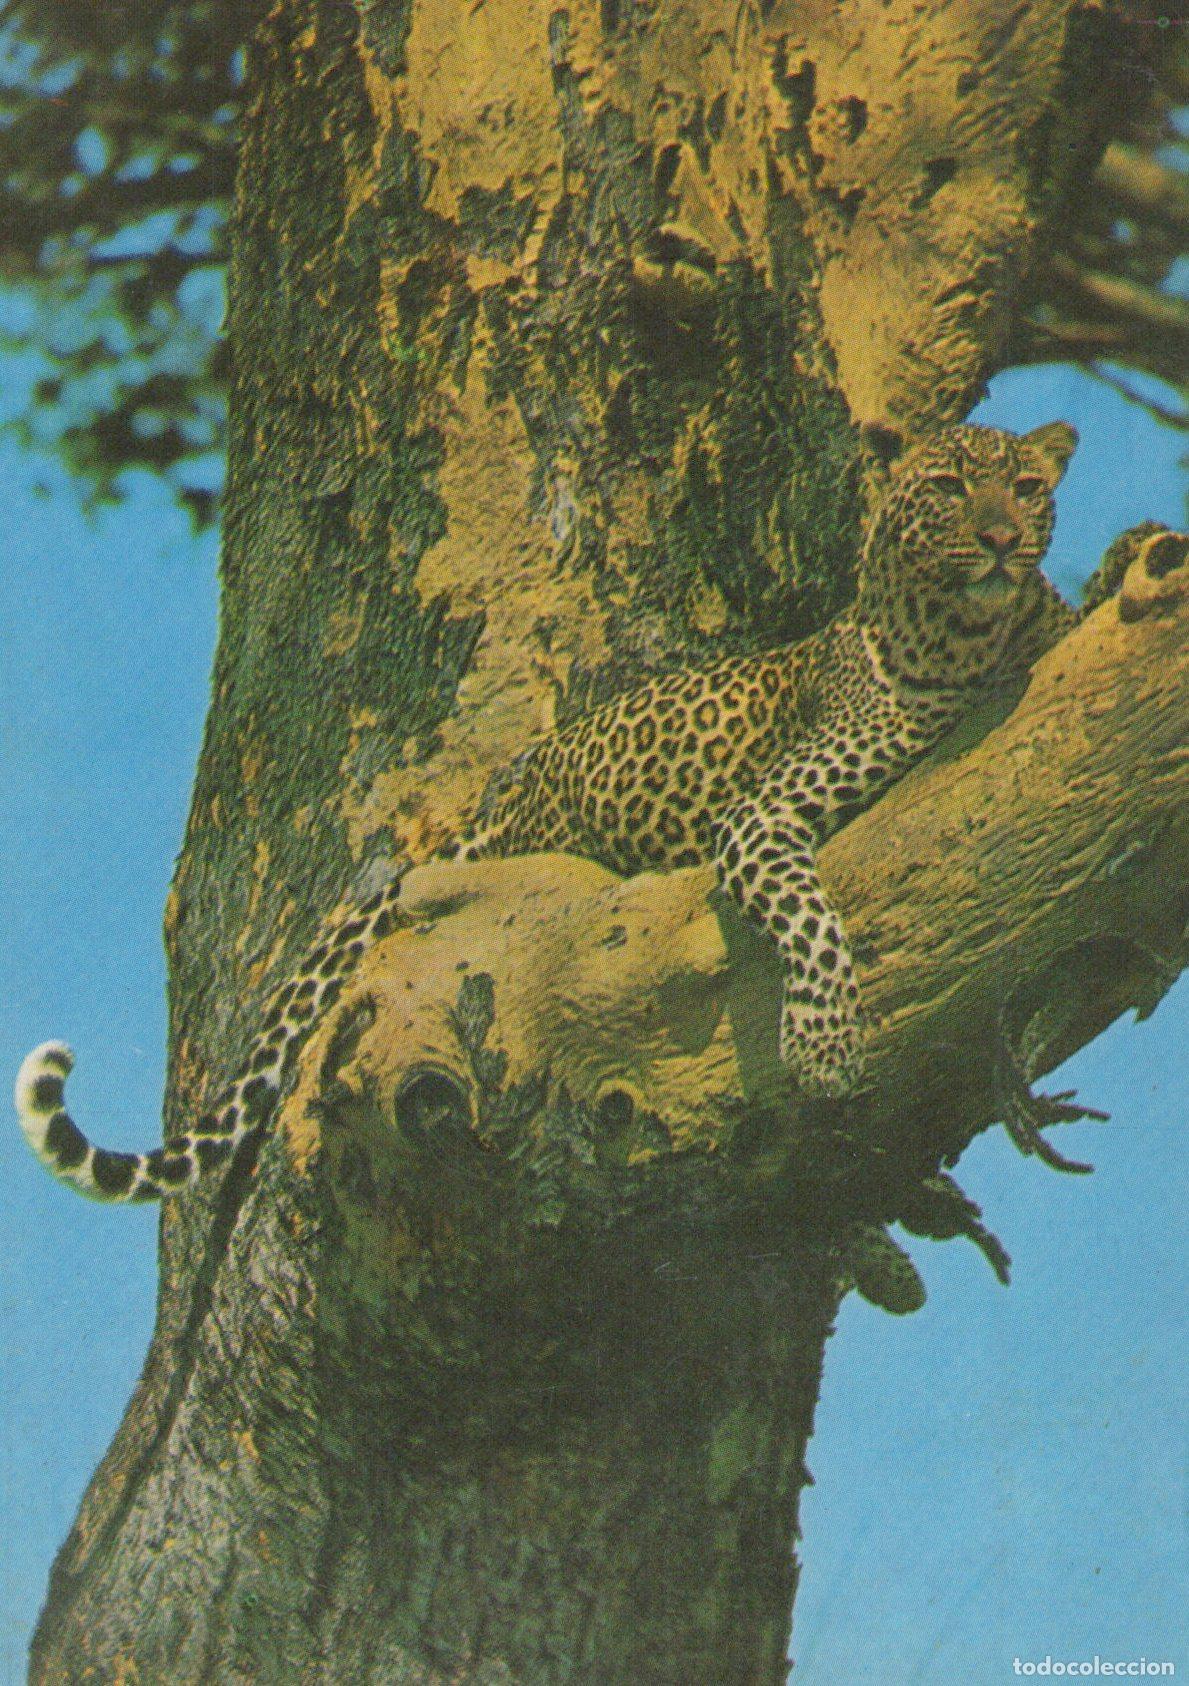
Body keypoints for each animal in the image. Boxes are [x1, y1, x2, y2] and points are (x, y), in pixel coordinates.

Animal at [17, 421, 1095, 1203]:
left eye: (1025, 489)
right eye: (947, 488)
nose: (1000, 540)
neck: (967, 639)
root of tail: (507, 789)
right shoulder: (758, 819)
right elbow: (811, 921)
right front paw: (824, 1048)